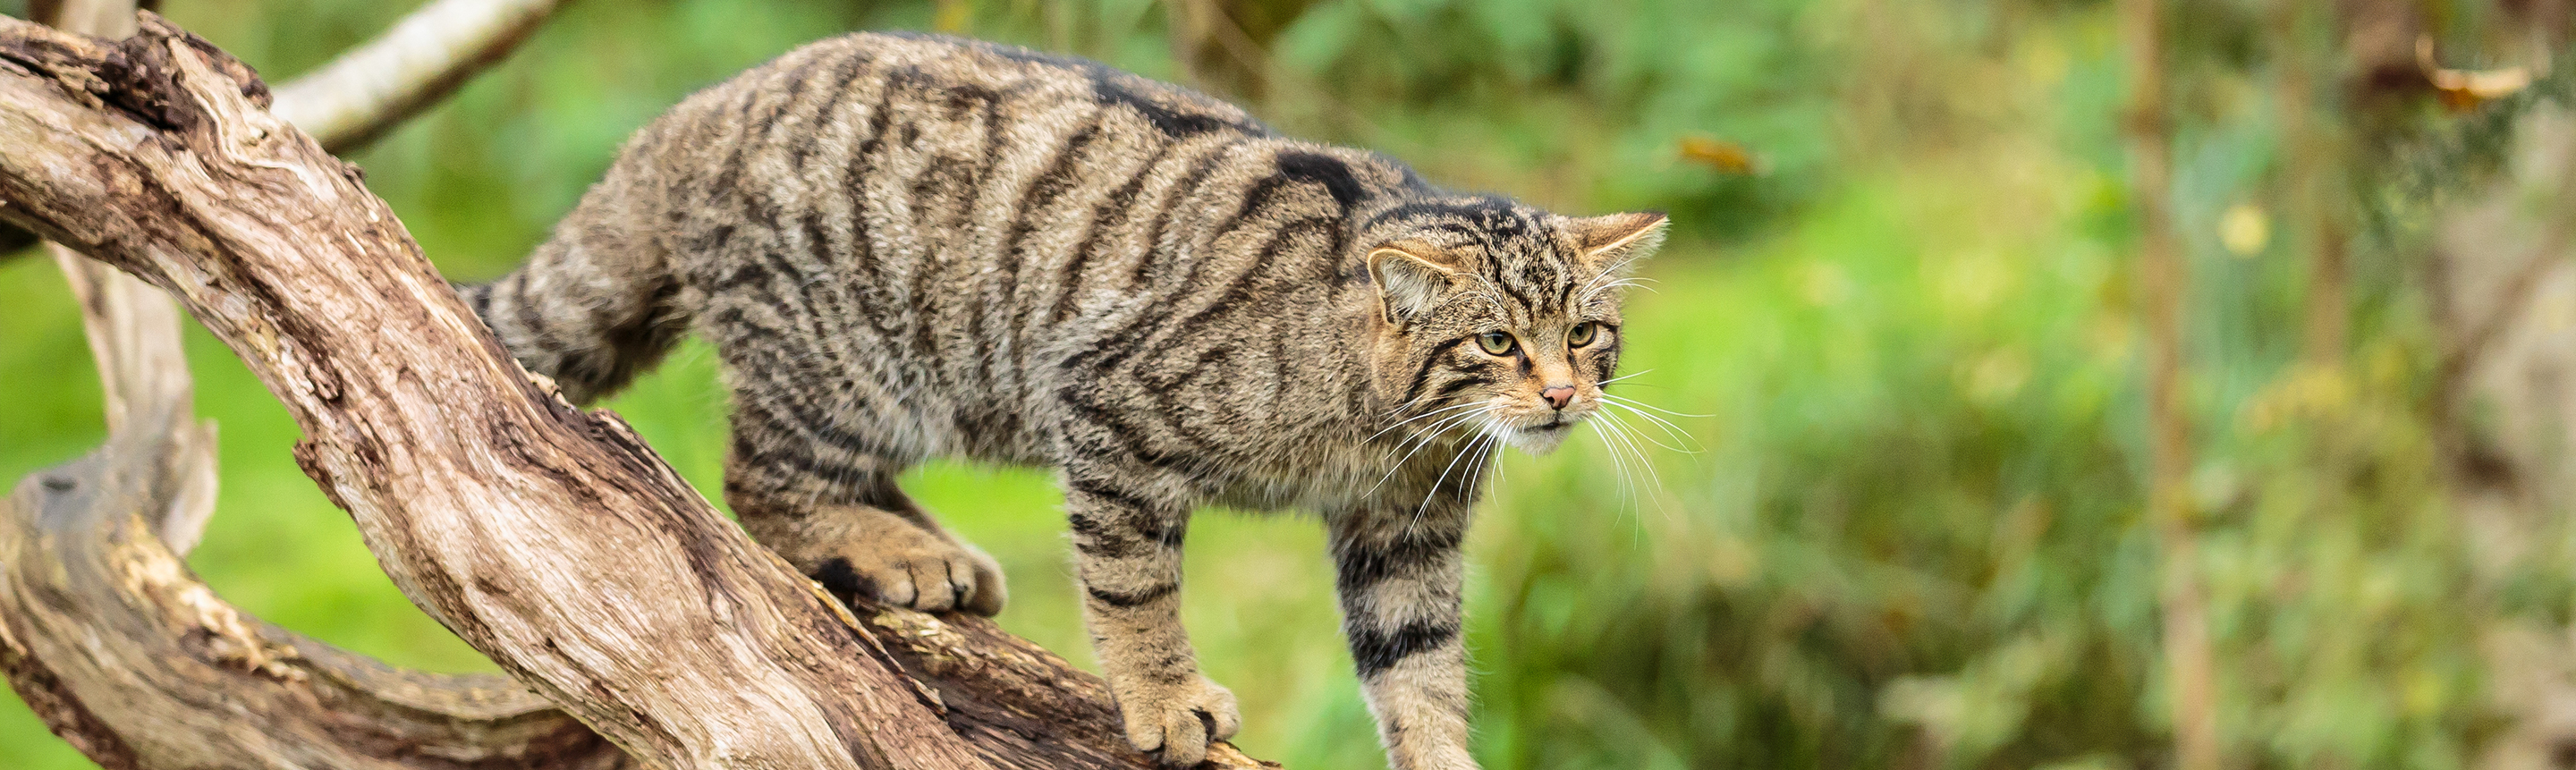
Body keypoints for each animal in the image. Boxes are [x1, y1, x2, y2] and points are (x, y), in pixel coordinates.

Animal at [463, 30, 1669, 770]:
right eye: (1497, 342)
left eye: (1586, 334)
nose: (1561, 394)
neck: (1388, 426)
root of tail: (691, 114)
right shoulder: (1109, 410)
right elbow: (1135, 592)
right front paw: (1165, 699)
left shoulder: (1405, 534)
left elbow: (1420, 669)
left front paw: (1440, 751)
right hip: (842, 365)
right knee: (760, 484)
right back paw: (891, 549)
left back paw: (931, 553)